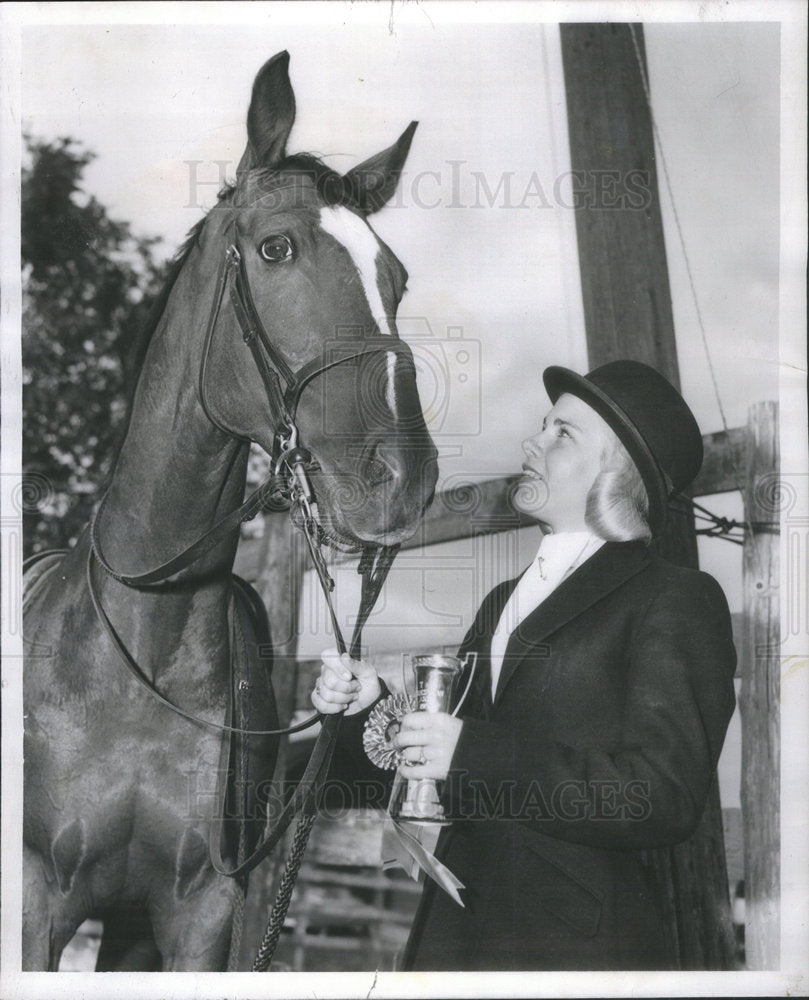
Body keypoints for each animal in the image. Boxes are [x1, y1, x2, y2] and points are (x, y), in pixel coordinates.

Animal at [22, 50, 438, 972]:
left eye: (396, 278)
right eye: (276, 248)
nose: (403, 479)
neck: (143, 642)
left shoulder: (198, 912)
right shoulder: (36, 905)